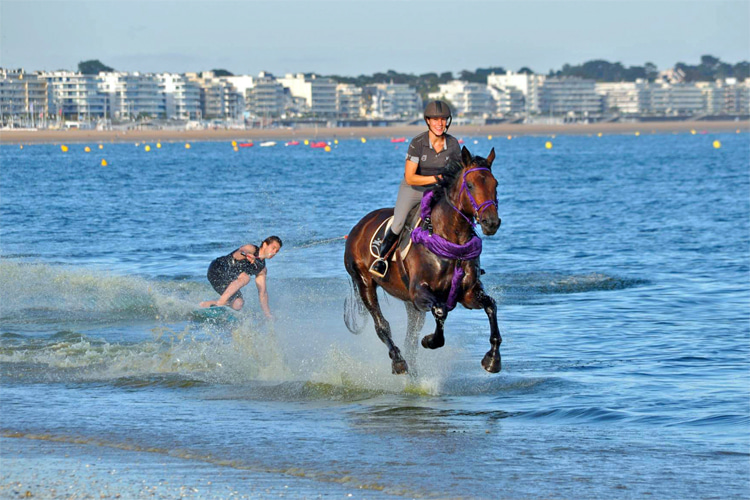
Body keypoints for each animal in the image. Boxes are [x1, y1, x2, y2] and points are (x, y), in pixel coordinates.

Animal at [344, 146, 502, 375]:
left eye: (495, 184)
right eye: (470, 185)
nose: (492, 222)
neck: (450, 240)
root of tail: (358, 227)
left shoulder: (468, 294)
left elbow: (491, 305)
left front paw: (492, 359)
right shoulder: (419, 291)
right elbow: (440, 311)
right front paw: (431, 340)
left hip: (409, 302)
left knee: (410, 335)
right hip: (365, 282)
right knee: (382, 325)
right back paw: (398, 361)